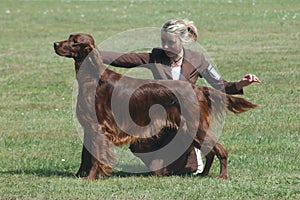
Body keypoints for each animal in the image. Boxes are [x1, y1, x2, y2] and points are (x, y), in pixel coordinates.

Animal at [53, 33, 255, 180]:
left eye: (75, 41)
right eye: (69, 37)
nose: (54, 43)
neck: (92, 77)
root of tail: (197, 88)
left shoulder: (98, 127)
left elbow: (96, 156)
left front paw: (90, 177)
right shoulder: (89, 126)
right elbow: (85, 155)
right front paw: (79, 175)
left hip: (195, 125)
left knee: (221, 149)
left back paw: (222, 176)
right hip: (190, 129)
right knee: (210, 151)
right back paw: (204, 174)